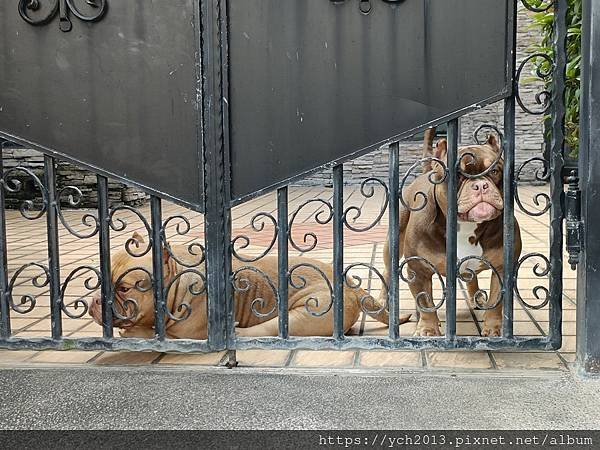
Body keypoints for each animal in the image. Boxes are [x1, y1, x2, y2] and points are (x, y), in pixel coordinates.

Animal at [382, 128, 524, 336]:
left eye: (495, 171)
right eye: (457, 175)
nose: (480, 185)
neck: (465, 226)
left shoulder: (502, 268)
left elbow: (497, 301)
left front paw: (493, 328)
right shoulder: (418, 270)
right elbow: (425, 302)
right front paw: (428, 328)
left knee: (470, 277)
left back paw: (476, 298)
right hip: (393, 240)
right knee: (387, 271)